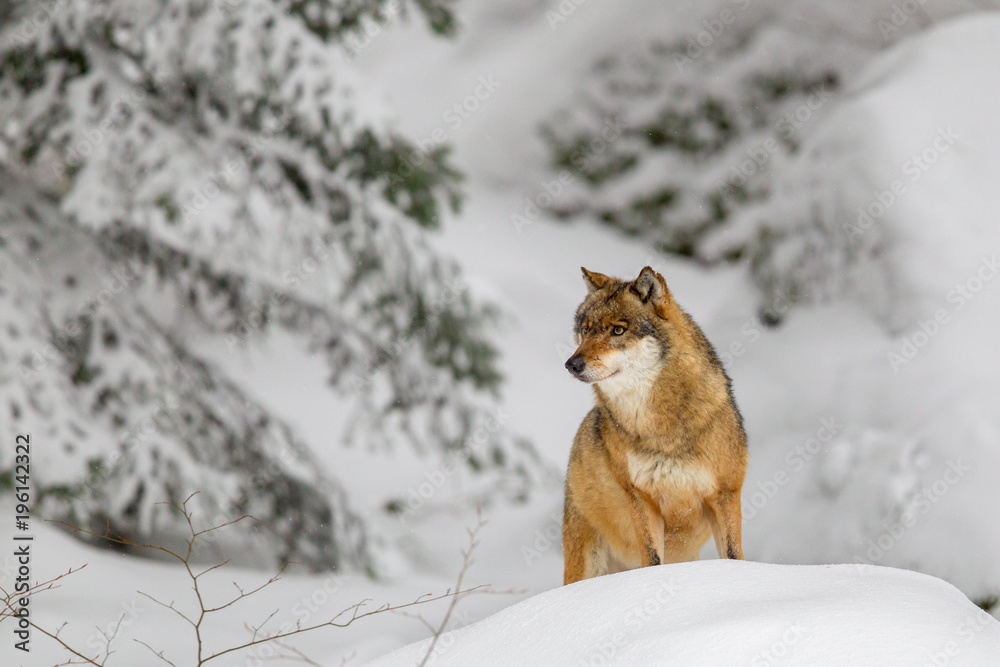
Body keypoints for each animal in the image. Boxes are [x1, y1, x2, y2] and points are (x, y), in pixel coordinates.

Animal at [562, 266, 747, 585]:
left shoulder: (725, 494)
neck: (661, 429)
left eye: (618, 330)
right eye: (585, 331)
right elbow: (651, 558)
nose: (572, 364)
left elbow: (734, 556)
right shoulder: (641, 498)